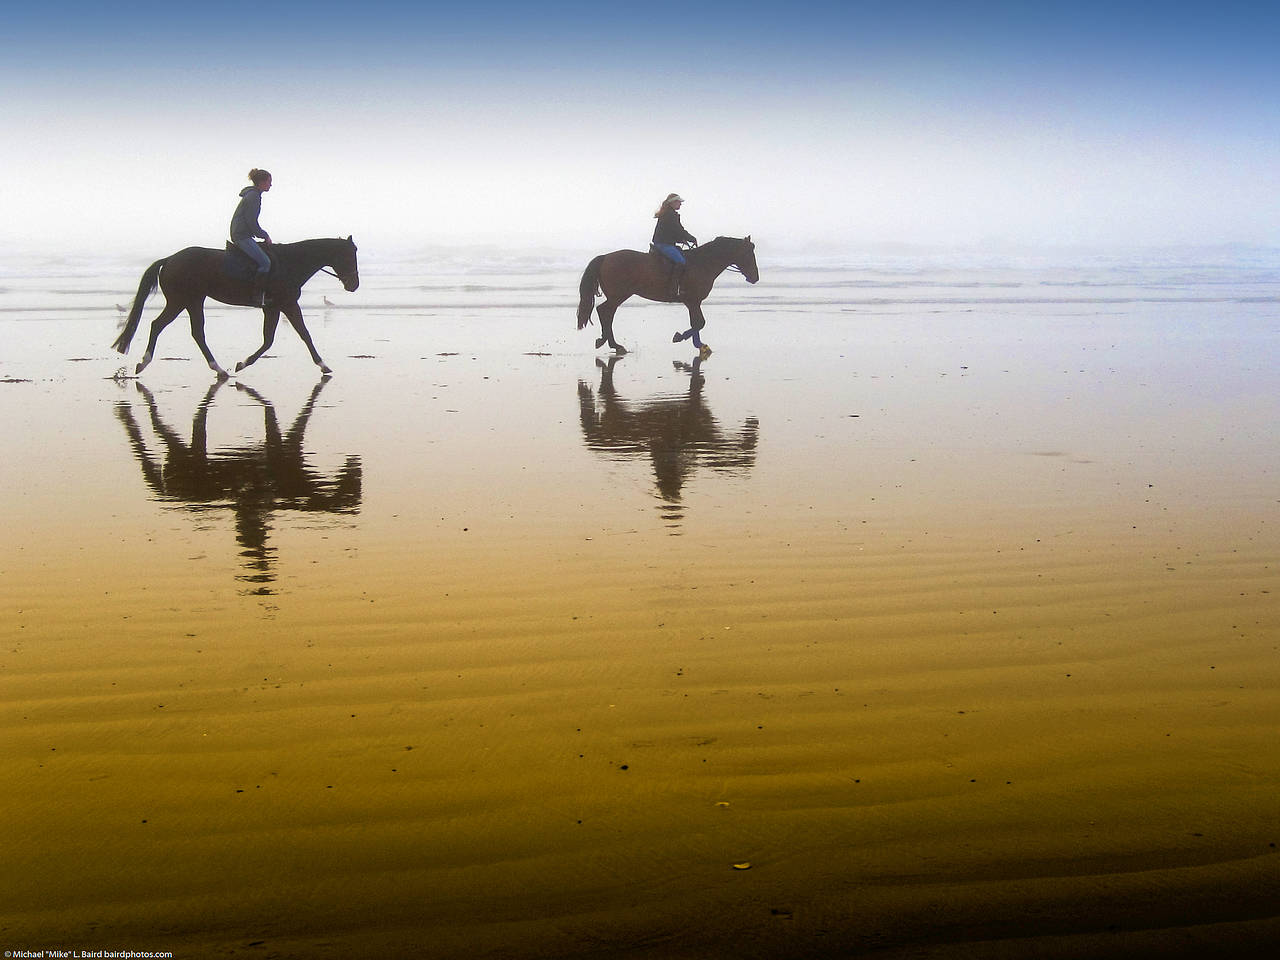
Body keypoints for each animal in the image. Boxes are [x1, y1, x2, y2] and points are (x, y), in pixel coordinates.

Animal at [113, 236, 360, 378]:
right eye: (350, 255)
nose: (354, 285)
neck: (291, 263)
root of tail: (170, 259)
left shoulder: (274, 307)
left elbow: (269, 340)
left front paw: (242, 363)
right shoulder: (287, 304)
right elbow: (304, 334)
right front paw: (323, 365)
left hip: (191, 301)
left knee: (192, 332)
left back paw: (219, 369)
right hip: (182, 300)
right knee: (161, 326)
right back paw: (145, 363)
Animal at [576, 235, 752, 355]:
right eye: (749, 253)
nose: (754, 277)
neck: (702, 263)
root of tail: (605, 257)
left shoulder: (693, 302)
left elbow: (696, 323)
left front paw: (700, 345)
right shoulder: (693, 301)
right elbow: (699, 323)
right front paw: (680, 337)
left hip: (617, 296)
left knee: (606, 312)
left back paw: (608, 342)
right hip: (618, 295)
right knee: (604, 311)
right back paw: (612, 343)